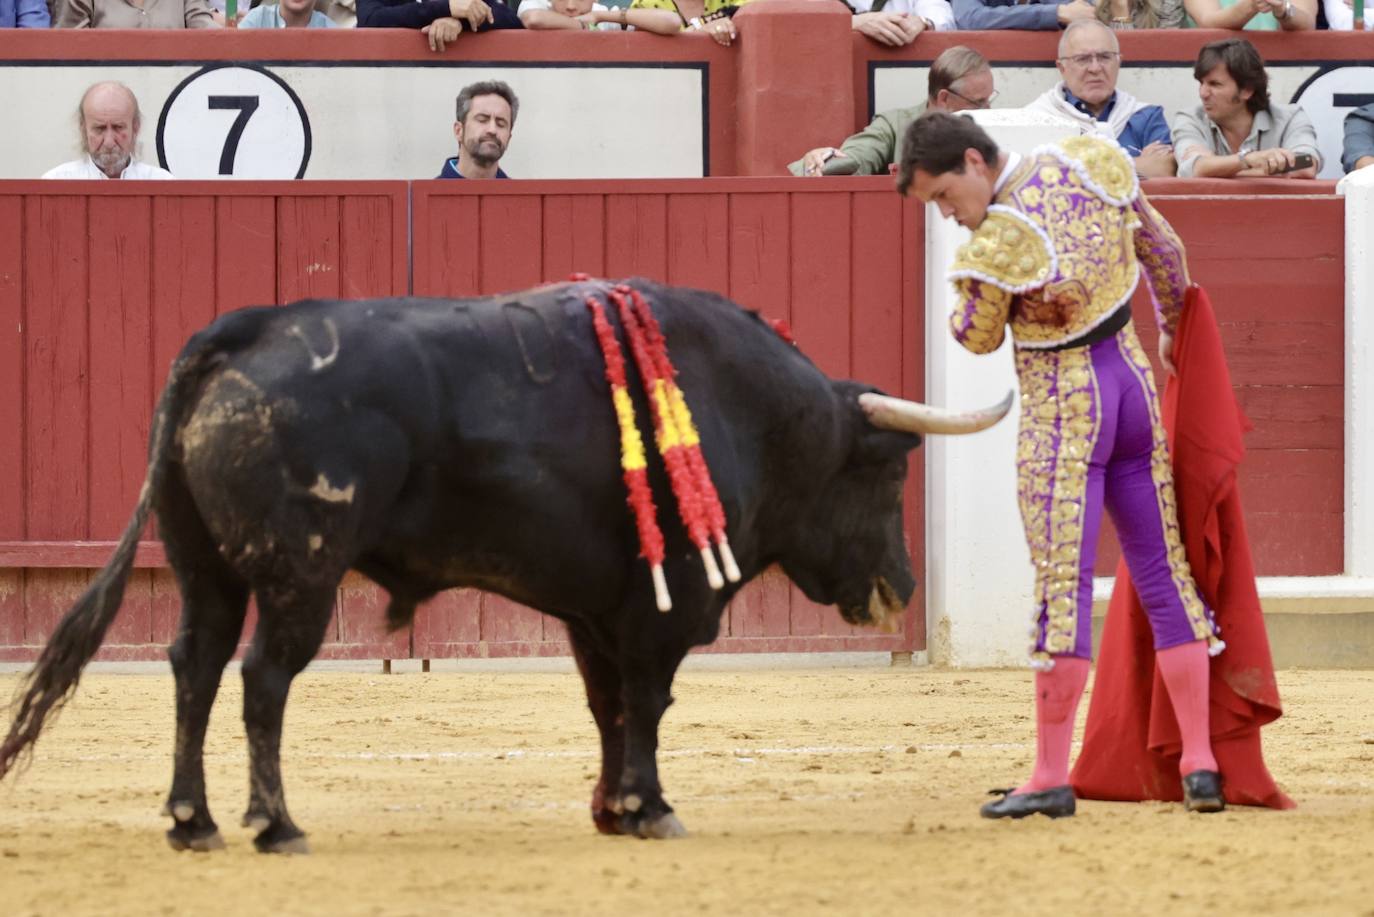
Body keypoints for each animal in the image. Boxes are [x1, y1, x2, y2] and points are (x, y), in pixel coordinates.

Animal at [0, 280, 1011, 852]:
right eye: (888, 470)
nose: (901, 587)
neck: (748, 409)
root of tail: (244, 333)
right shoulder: (665, 607)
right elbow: (647, 703)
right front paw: (652, 807)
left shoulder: (595, 610)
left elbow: (610, 707)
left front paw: (615, 808)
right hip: (301, 576)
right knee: (260, 678)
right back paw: (275, 824)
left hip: (204, 566)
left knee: (195, 667)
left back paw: (193, 821)